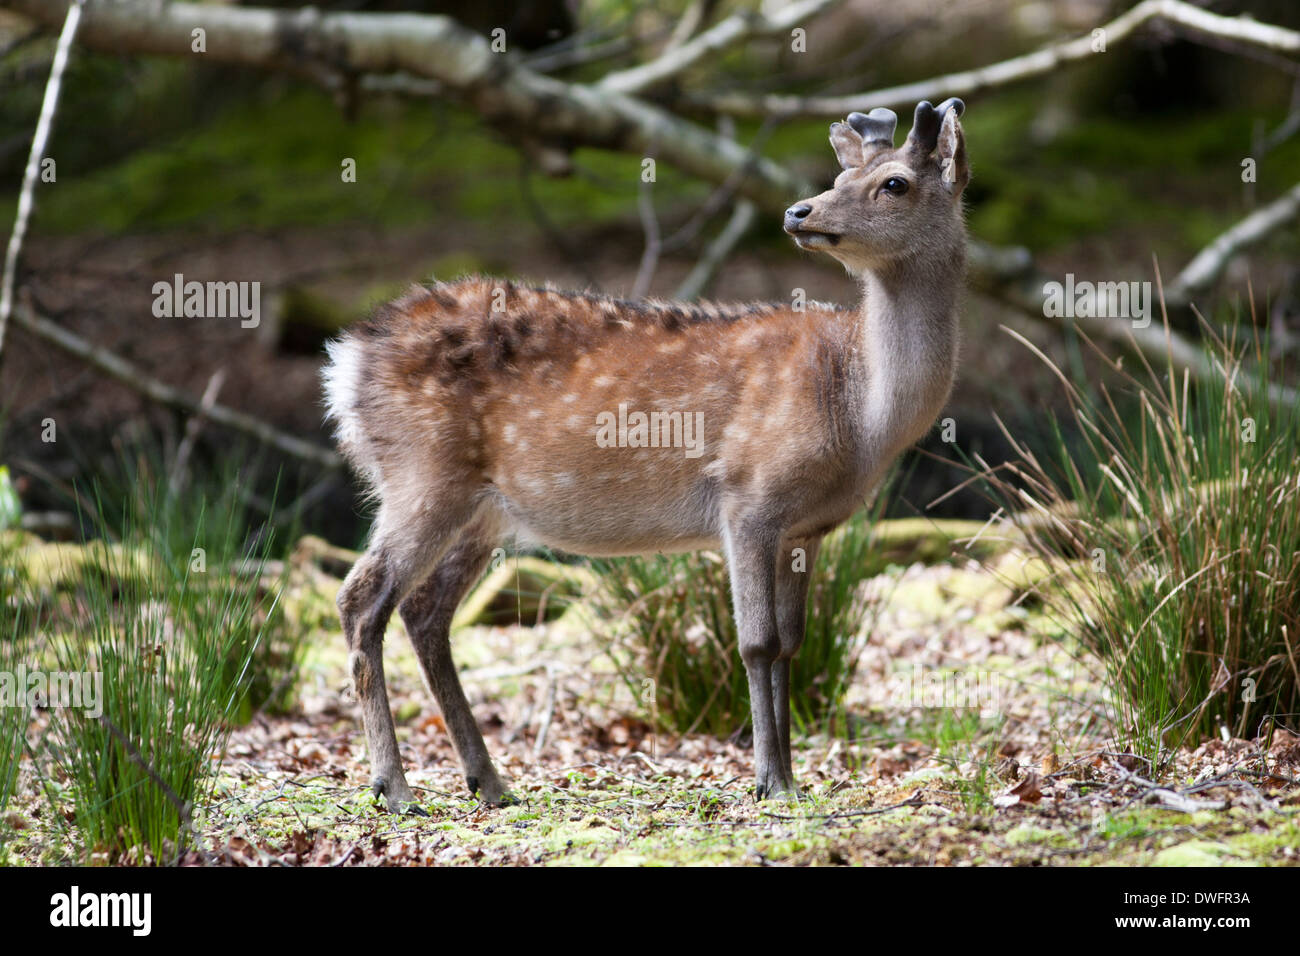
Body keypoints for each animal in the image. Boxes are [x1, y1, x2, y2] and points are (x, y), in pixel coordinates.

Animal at [322, 98, 977, 816]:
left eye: (894, 183)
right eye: (842, 177)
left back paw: (489, 781)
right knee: (360, 600)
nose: (798, 212)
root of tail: (346, 361)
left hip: (480, 509)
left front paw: (792, 776)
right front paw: (768, 780)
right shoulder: (748, 495)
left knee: (425, 613)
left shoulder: (807, 528)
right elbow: (756, 643)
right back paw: (395, 787)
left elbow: (793, 644)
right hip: (421, 473)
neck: (861, 415)